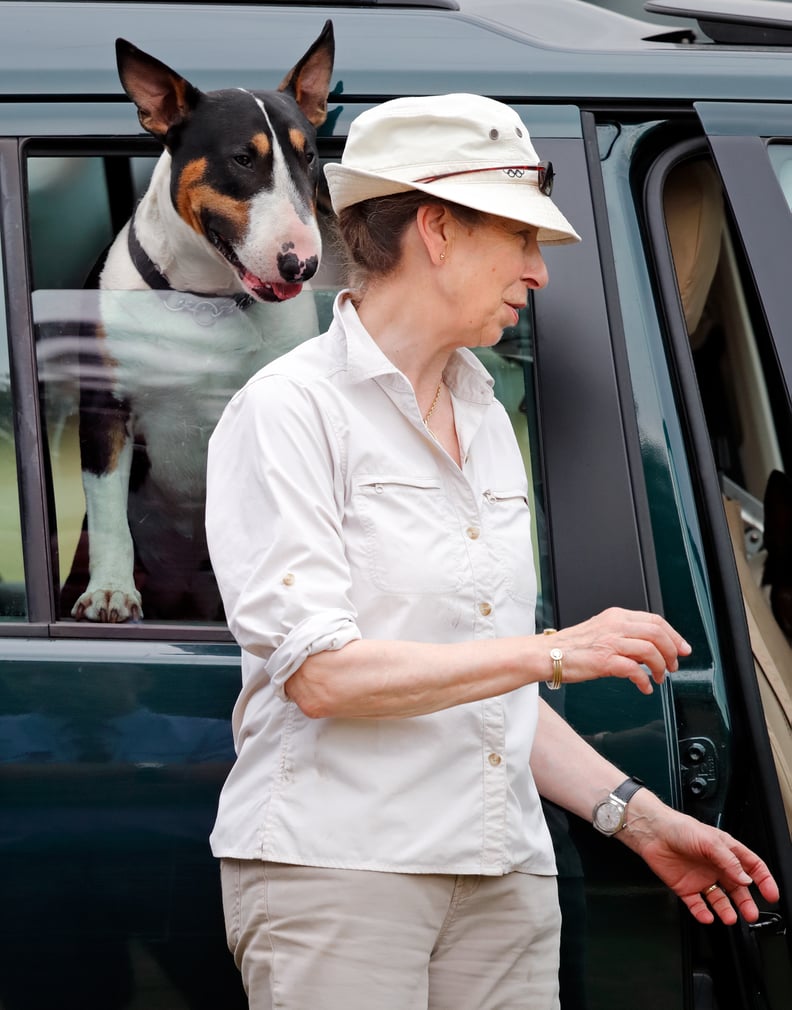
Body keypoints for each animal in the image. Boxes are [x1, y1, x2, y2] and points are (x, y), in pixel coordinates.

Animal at [61, 21, 333, 622]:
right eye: (242, 159)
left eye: (309, 157)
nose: (302, 264)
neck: (207, 300)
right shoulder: (105, 406)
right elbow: (108, 509)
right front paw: (111, 592)